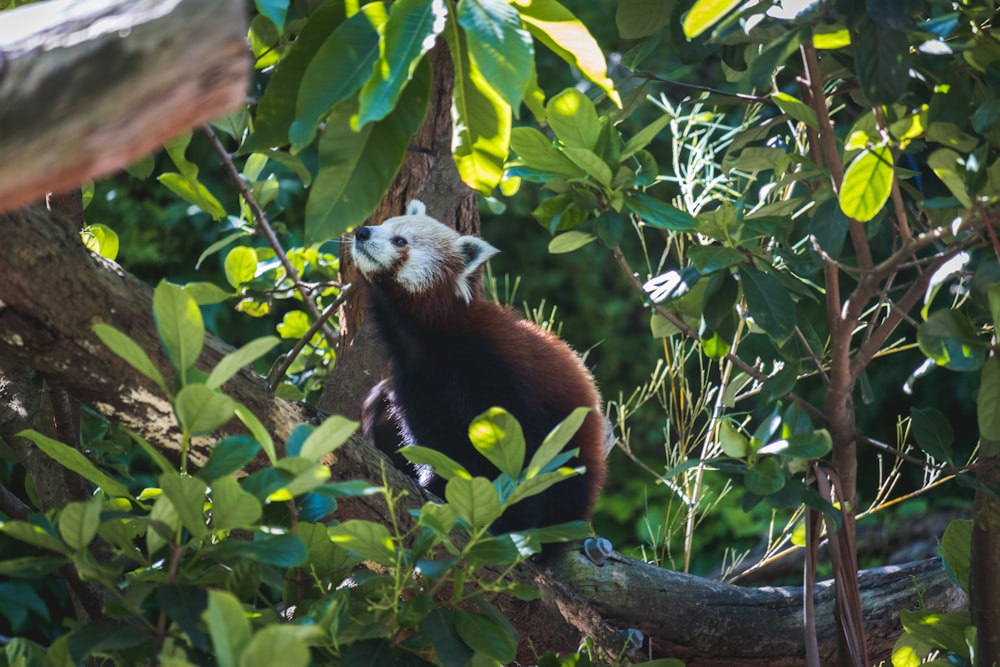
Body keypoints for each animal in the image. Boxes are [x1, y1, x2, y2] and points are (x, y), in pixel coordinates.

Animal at [352, 201, 604, 536]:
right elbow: (435, 444)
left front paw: (510, 520)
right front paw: (438, 487)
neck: (426, 338)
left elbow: (523, 452)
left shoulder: (493, 369)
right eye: (383, 224)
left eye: (400, 241)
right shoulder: (415, 382)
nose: (362, 231)